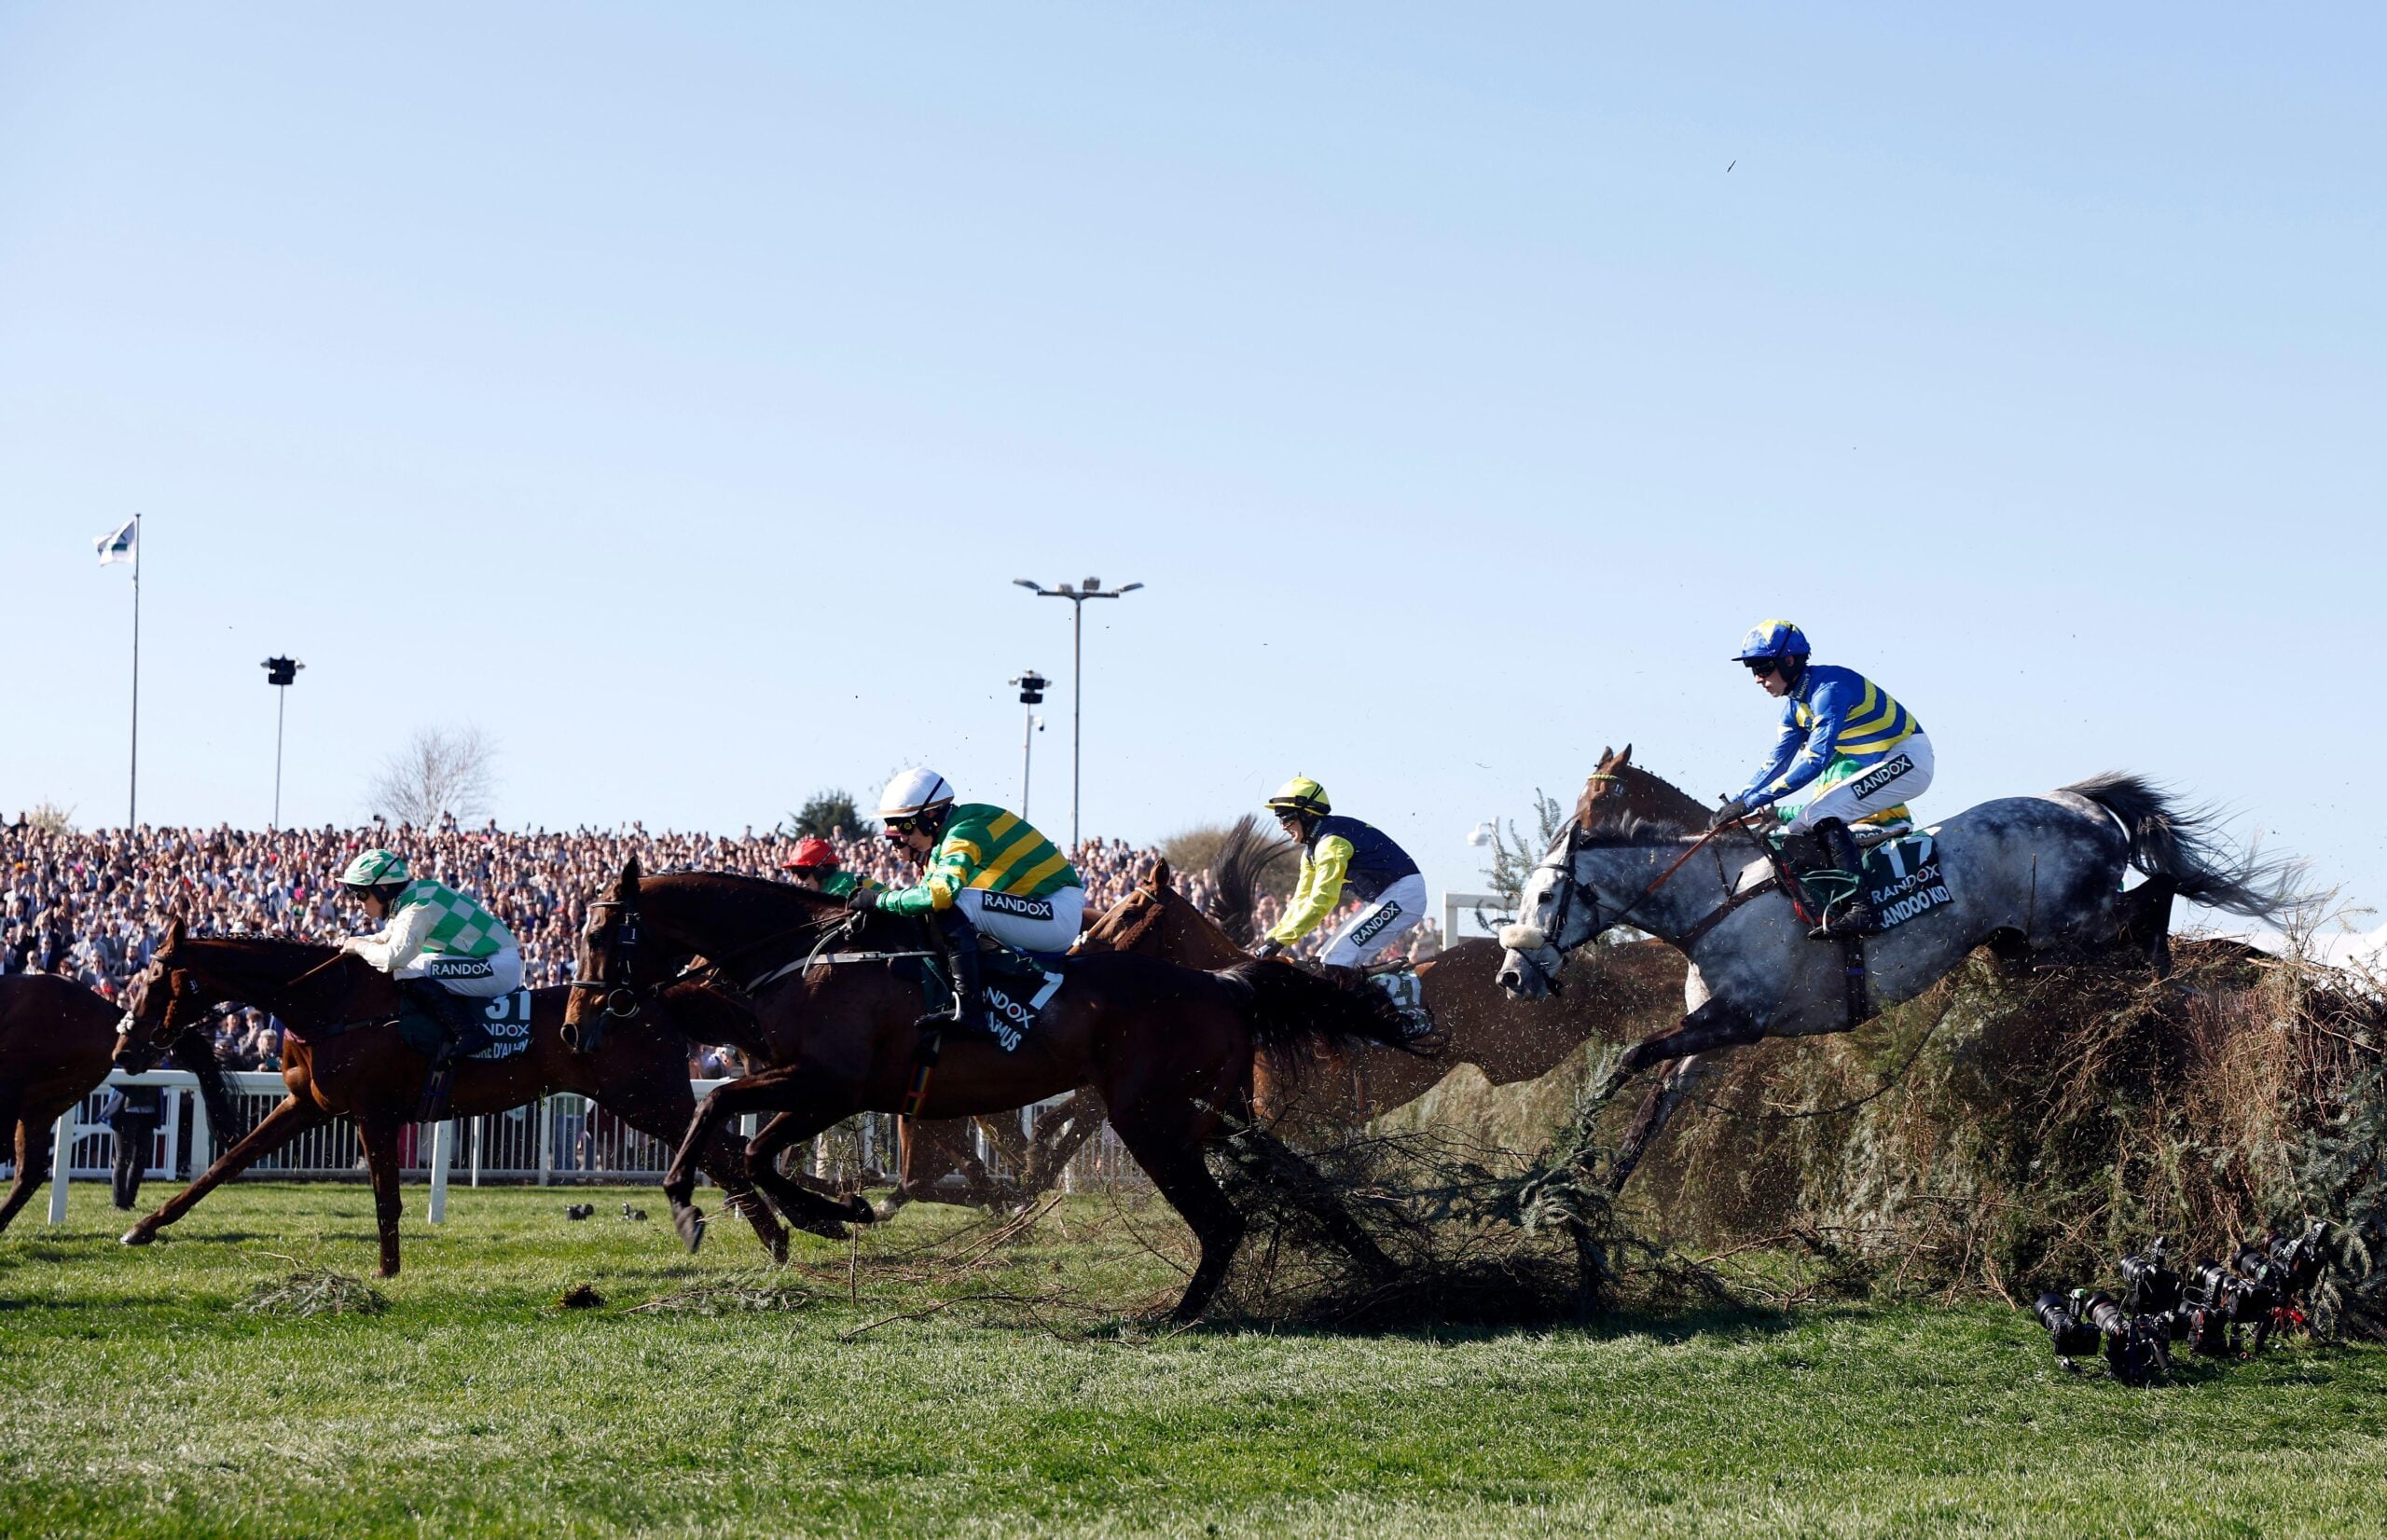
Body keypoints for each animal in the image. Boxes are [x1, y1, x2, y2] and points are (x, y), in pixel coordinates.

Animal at [112, 920, 796, 1274]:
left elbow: (386, 1197)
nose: (124, 1050)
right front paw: (143, 1227)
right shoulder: (306, 1106)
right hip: (648, 1101)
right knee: (725, 1150)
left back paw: (779, 1239)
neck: (329, 1005)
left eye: (152, 979)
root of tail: (649, 998)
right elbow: (224, 1166)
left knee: (725, 1153)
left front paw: (387, 1271)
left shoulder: (372, 1112)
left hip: (647, 1099)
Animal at [563, 859, 1427, 1321]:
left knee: (1223, 1218)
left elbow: (730, 1121)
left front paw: (719, 1206)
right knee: (1300, 1180)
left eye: (601, 933)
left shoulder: (830, 1085)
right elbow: (752, 1141)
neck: (808, 958)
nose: (574, 1026)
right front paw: (828, 1212)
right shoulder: (825, 1091)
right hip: (1214, 1117)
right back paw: (1393, 1275)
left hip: (1151, 1121)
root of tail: (1227, 981)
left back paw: (1179, 1317)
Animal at [1076, 856, 1686, 1136]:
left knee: (1604, 995)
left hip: (1524, 1045)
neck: (1258, 1005)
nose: (1080, 948)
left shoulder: (1294, 1123)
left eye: (1129, 911)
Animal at [1494, 746, 2299, 1186]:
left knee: (2155, 899)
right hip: (2025, 948)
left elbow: (1631, 1056)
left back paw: (2162, 979)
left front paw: (1570, 1171)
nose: (1510, 979)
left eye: (1545, 896)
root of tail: (2080, 802)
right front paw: (1585, 1191)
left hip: (2072, 921)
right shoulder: (1711, 1034)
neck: (1713, 897)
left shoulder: (1740, 1020)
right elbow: (1650, 1105)